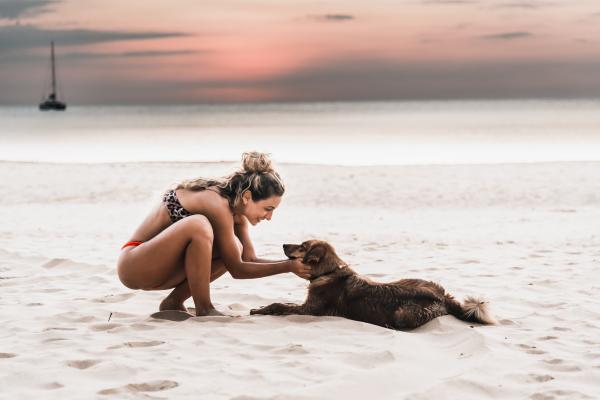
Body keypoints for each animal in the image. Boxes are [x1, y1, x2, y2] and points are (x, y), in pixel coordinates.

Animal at [250, 239, 496, 330]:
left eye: (302, 246)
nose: (283, 244)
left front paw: (260, 310)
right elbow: (283, 303)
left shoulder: (309, 310)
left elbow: (279, 305)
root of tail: (443, 296)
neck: (329, 271)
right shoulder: (305, 306)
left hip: (403, 314)